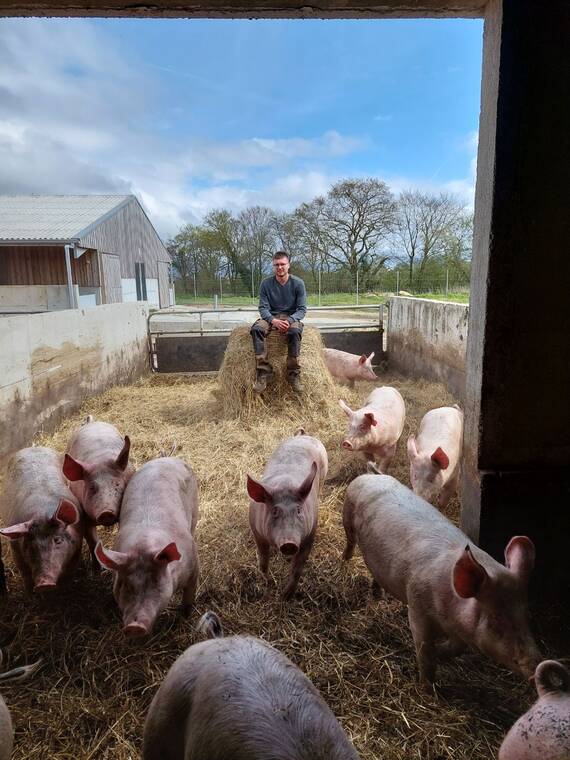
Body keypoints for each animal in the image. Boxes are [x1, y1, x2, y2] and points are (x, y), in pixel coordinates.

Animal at [0, 447, 84, 593]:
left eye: (57, 540)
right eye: (29, 545)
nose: (44, 584)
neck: (41, 513)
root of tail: (32, 447)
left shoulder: (77, 548)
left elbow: (69, 574)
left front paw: (65, 589)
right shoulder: (15, 550)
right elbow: (25, 574)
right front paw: (31, 592)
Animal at [95, 457, 199, 637]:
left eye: (156, 581)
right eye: (125, 584)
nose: (134, 626)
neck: (144, 545)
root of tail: (166, 458)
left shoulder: (193, 567)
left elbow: (188, 597)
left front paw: (185, 617)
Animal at [246, 429, 328, 600]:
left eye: (298, 510)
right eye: (274, 511)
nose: (289, 543)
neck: (284, 485)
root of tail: (303, 436)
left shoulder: (310, 535)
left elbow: (297, 569)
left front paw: (285, 596)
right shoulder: (257, 533)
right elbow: (263, 563)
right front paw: (269, 585)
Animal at [343, 469, 541, 685]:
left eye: (528, 615)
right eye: (497, 619)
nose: (536, 668)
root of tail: (372, 475)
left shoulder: (461, 630)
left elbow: (457, 648)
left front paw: (441, 653)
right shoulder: (417, 606)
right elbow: (425, 653)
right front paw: (426, 687)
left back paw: (377, 594)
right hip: (347, 515)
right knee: (350, 542)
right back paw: (345, 560)